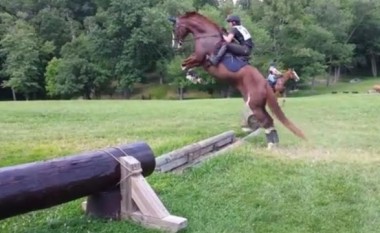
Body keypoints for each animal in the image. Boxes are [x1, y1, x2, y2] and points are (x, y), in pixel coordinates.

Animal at [169, 11, 306, 148]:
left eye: (174, 29)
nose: (175, 45)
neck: (206, 36)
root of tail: (264, 83)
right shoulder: (198, 60)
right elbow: (185, 65)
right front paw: (194, 77)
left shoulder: (199, 58)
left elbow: (184, 64)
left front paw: (193, 77)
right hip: (257, 104)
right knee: (269, 119)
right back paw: (273, 143)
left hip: (254, 104)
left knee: (266, 120)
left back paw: (271, 145)